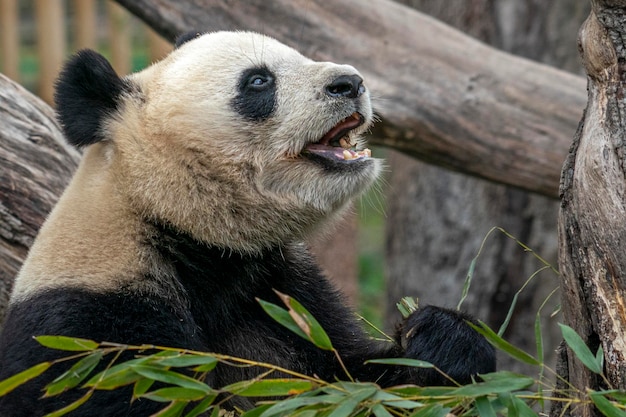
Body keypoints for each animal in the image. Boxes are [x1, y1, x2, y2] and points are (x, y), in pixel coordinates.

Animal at [0, 30, 492, 414]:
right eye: (259, 81)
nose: (350, 82)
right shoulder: (93, 329)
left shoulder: (284, 296)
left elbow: (357, 380)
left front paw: (441, 341)